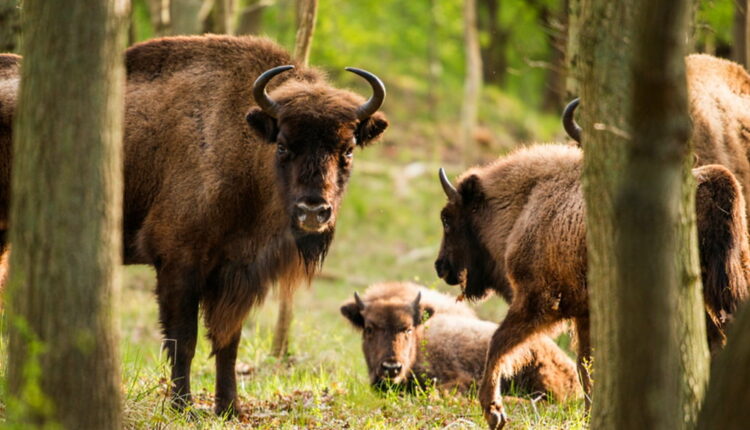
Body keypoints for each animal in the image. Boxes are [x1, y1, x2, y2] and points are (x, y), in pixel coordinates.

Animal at [0, 35, 388, 415]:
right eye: (282, 145)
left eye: (348, 149)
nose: (313, 210)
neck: (243, 147)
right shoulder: (179, 264)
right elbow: (183, 340)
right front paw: (182, 407)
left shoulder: (236, 273)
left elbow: (228, 342)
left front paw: (230, 408)